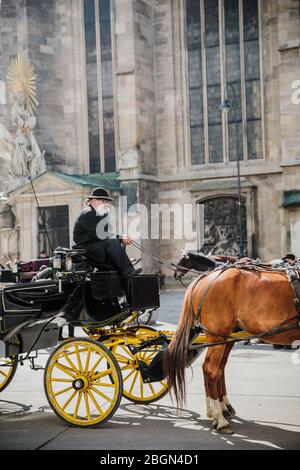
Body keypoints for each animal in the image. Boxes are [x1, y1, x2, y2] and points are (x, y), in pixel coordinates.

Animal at [164, 266, 300, 436]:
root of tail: (204, 278)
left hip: (223, 338)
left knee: (217, 369)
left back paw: (219, 410)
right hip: (218, 336)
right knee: (211, 370)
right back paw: (220, 419)